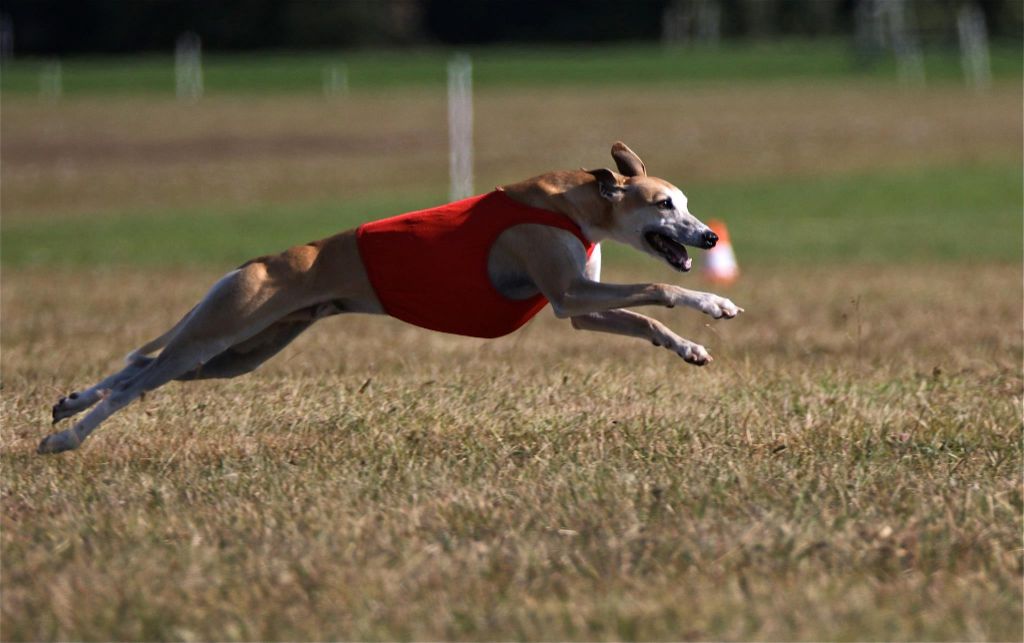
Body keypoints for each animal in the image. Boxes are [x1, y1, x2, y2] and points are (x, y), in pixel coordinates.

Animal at [41, 142, 745, 452]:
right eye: (664, 204)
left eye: (686, 203)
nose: (711, 236)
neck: (576, 204)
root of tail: (255, 262)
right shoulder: (570, 289)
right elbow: (658, 284)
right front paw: (713, 306)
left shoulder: (580, 306)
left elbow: (642, 319)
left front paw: (689, 347)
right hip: (223, 330)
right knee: (140, 378)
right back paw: (67, 439)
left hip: (239, 352)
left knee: (139, 366)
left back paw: (68, 404)